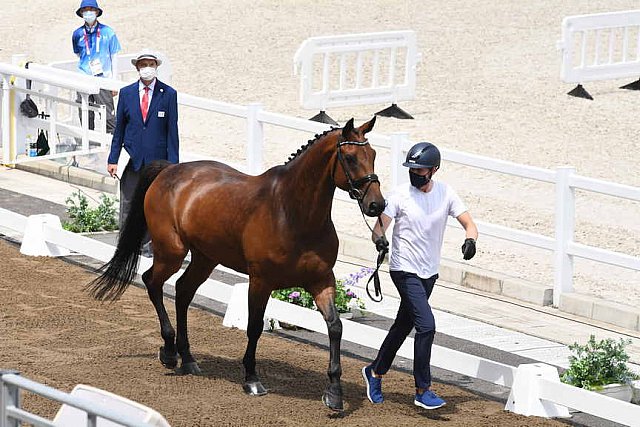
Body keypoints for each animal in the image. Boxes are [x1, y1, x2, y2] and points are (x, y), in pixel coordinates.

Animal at [87, 117, 382, 412]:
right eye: (350, 158)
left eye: (374, 155)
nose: (376, 205)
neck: (292, 212)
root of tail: (170, 170)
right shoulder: (261, 281)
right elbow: (254, 327)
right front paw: (251, 379)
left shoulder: (321, 280)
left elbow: (335, 326)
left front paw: (334, 392)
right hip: (172, 252)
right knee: (152, 282)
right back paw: (169, 352)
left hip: (205, 258)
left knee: (183, 291)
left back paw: (188, 358)